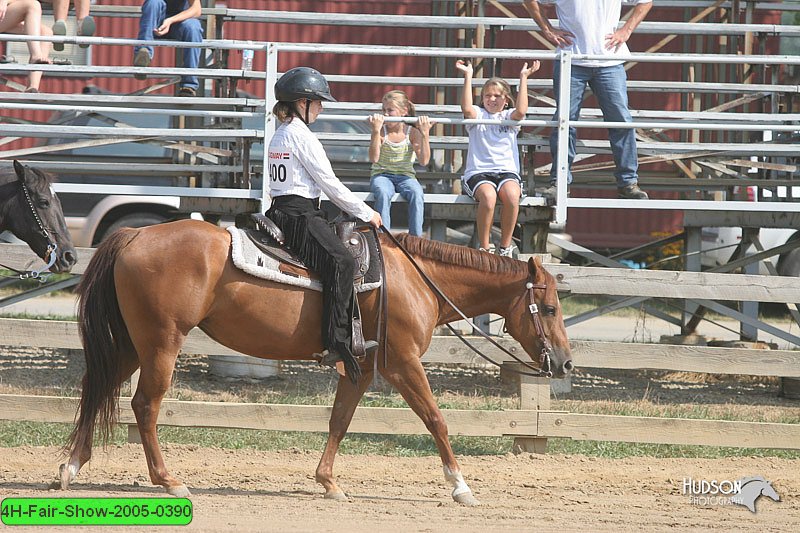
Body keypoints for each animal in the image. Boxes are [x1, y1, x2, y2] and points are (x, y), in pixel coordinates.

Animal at [59, 218, 572, 504]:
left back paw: (72, 467)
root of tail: (135, 234)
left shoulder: (360, 367)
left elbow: (339, 420)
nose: (565, 364)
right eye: (549, 308)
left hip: (133, 344)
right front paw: (461, 486)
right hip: (162, 343)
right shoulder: (402, 363)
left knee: (97, 386)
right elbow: (436, 419)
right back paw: (168, 481)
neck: (411, 279)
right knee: (144, 405)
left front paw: (328, 483)